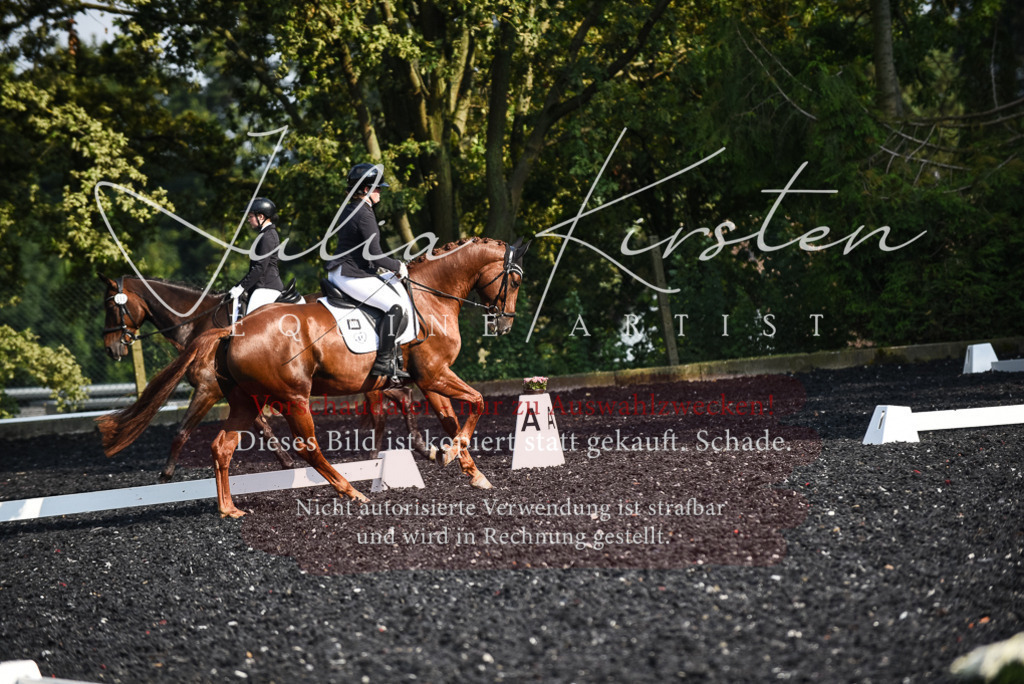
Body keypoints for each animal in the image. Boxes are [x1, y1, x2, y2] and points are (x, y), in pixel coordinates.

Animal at [99, 275, 430, 482]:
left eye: (110, 306)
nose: (111, 349)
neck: (198, 322)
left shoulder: (208, 389)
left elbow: (182, 431)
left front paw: (166, 473)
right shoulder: (243, 392)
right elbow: (262, 427)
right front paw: (286, 461)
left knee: (388, 403)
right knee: (401, 396)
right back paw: (413, 446)